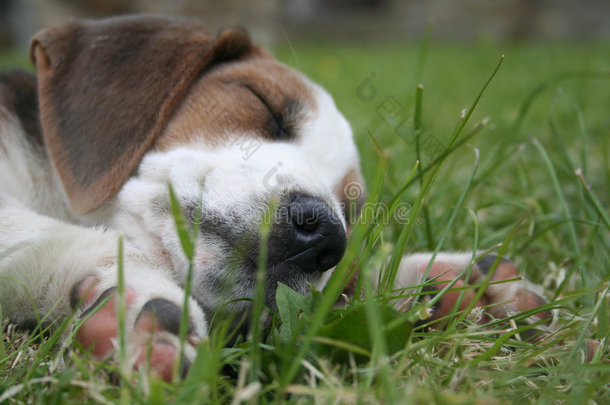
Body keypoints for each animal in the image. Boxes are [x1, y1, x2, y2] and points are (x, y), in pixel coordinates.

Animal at [0, 15, 548, 380]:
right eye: (261, 103)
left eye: (351, 210)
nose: (323, 232)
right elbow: (27, 228)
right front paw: (129, 295)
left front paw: (447, 287)